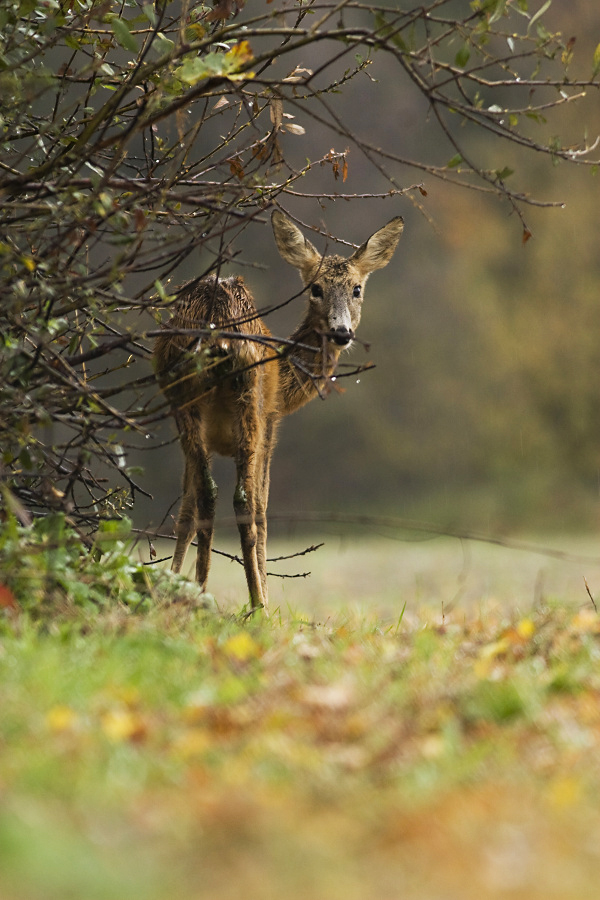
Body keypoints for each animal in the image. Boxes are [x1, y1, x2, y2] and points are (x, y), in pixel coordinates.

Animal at [154, 209, 404, 612]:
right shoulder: (271, 425)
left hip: (182, 398)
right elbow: (262, 508)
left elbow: (186, 511)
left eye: (356, 289)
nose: (342, 333)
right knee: (244, 502)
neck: (286, 385)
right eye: (315, 288)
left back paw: (200, 589)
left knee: (206, 494)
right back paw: (257, 605)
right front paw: (263, 597)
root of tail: (216, 323)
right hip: (251, 401)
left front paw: (173, 585)